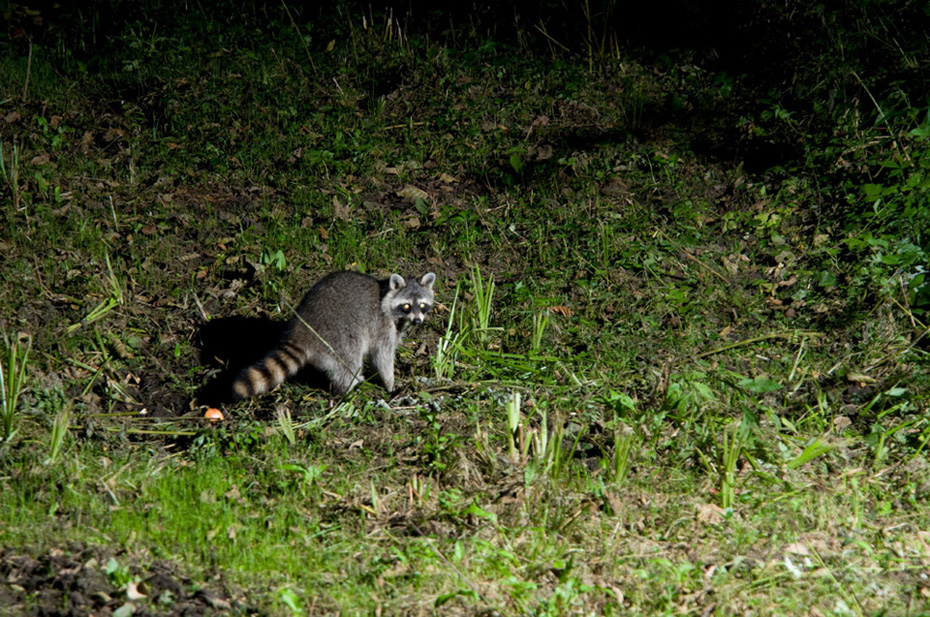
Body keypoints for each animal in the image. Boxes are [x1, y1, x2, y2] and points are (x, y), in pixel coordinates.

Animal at [232, 270, 436, 400]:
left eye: (422, 305)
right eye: (407, 305)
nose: (418, 321)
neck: (385, 294)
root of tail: (302, 331)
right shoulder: (381, 326)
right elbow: (382, 356)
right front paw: (390, 384)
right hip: (339, 335)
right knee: (349, 362)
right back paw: (348, 390)